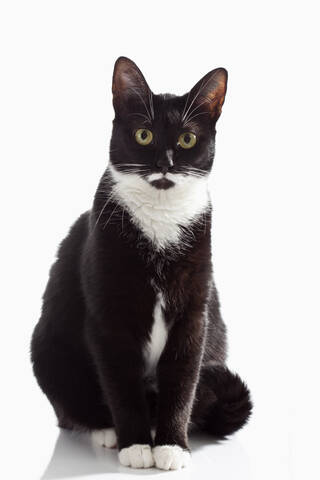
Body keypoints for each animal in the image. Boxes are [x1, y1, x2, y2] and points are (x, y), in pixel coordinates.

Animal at [32, 57, 252, 472]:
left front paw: (172, 446)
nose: (165, 163)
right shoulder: (109, 315)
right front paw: (134, 445)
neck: (160, 221)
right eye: (144, 135)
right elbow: (121, 383)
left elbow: (182, 382)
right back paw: (104, 429)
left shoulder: (194, 315)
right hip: (47, 347)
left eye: (187, 140)